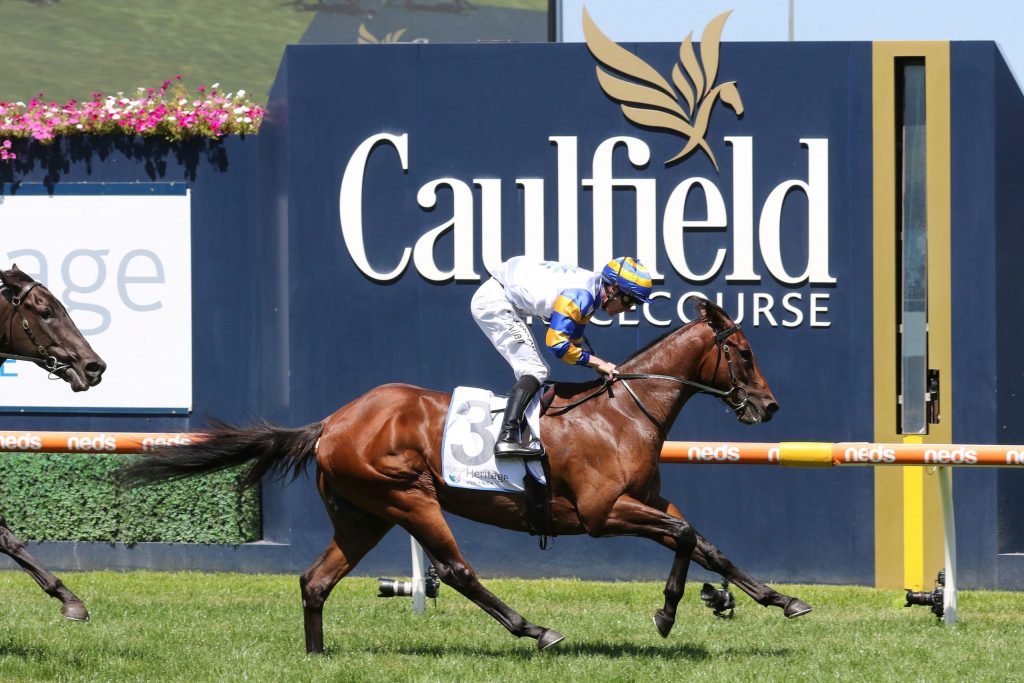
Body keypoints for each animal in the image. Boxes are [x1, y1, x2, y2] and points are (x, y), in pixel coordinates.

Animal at [119, 298, 810, 653]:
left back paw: (316, 655)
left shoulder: (647, 503)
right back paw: (535, 629)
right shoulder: (600, 513)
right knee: (455, 569)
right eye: (742, 351)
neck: (620, 413)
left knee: (315, 581)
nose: (770, 406)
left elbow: (707, 544)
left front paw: (774, 599)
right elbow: (690, 537)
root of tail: (333, 422)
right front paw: (670, 612)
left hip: (362, 516)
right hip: (408, 497)